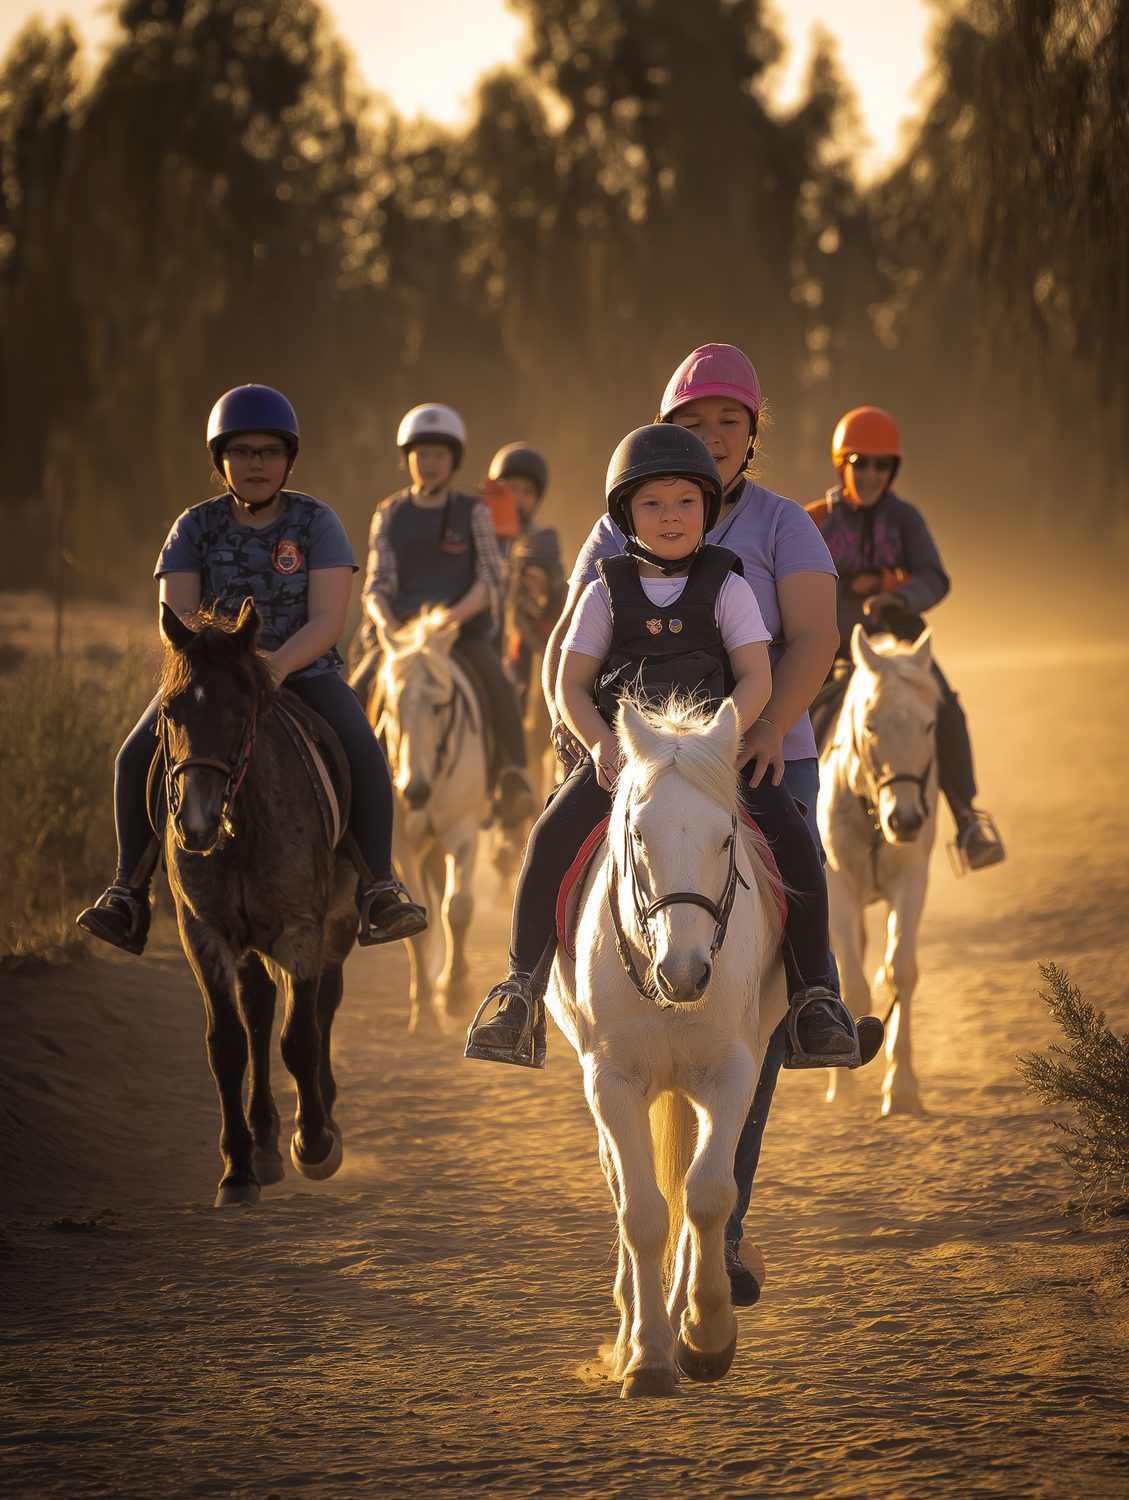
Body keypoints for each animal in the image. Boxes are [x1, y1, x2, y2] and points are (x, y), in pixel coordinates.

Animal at [157, 600, 356, 1207]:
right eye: (171, 710)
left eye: (240, 710)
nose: (195, 824)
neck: (240, 830)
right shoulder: (204, 934)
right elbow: (228, 1045)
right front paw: (238, 1169)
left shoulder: (303, 930)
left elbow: (301, 1039)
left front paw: (314, 1144)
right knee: (258, 1012)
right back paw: (264, 1142)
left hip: (336, 927)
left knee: (321, 1007)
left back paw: (319, 1117)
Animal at [373, 611, 490, 1031]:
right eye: (391, 707)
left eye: (440, 706)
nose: (414, 790)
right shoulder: (399, 844)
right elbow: (418, 917)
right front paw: (423, 1007)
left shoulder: (463, 831)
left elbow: (458, 907)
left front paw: (454, 991)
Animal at [546, 696, 786, 1399]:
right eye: (638, 835)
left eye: (726, 838)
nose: (685, 972)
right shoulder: (611, 1082)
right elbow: (643, 1215)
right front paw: (649, 1357)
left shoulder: (733, 1073)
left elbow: (706, 1195)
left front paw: (705, 1337)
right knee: (629, 1190)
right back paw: (632, 1331)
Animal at [818, 625, 942, 1117]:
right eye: (869, 726)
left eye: (929, 725)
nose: (905, 820)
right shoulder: (837, 889)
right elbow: (851, 985)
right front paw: (842, 1087)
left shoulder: (912, 882)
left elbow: (901, 973)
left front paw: (902, 1086)